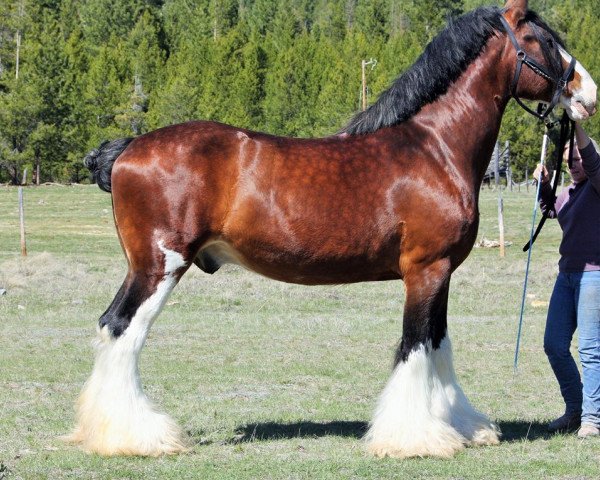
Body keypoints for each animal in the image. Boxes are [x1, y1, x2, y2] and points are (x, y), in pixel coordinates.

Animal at [65, 0, 596, 458]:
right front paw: (414, 439)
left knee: (112, 327)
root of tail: (128, 149)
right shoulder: (425, 270)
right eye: (543, 40)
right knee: (123, 329)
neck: (434, 147)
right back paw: (138, 437)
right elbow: (415, 347)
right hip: (159, 266)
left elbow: (438, 344)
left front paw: (462, 426)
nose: (589, 94)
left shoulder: (441, 273)